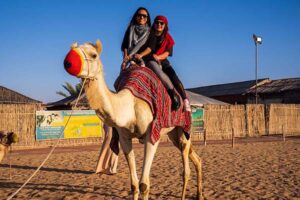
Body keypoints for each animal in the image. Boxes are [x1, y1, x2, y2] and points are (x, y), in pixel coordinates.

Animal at [63, 39, 204, 199]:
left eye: (93, 55)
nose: (68, 62)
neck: (130, 104)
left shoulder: (151, 135)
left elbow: (144, 185)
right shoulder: (125, 138)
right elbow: (134, 185)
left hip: (183, 128)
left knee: (186, 168)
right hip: (173, 134)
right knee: (195, 158)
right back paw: (200, 194)